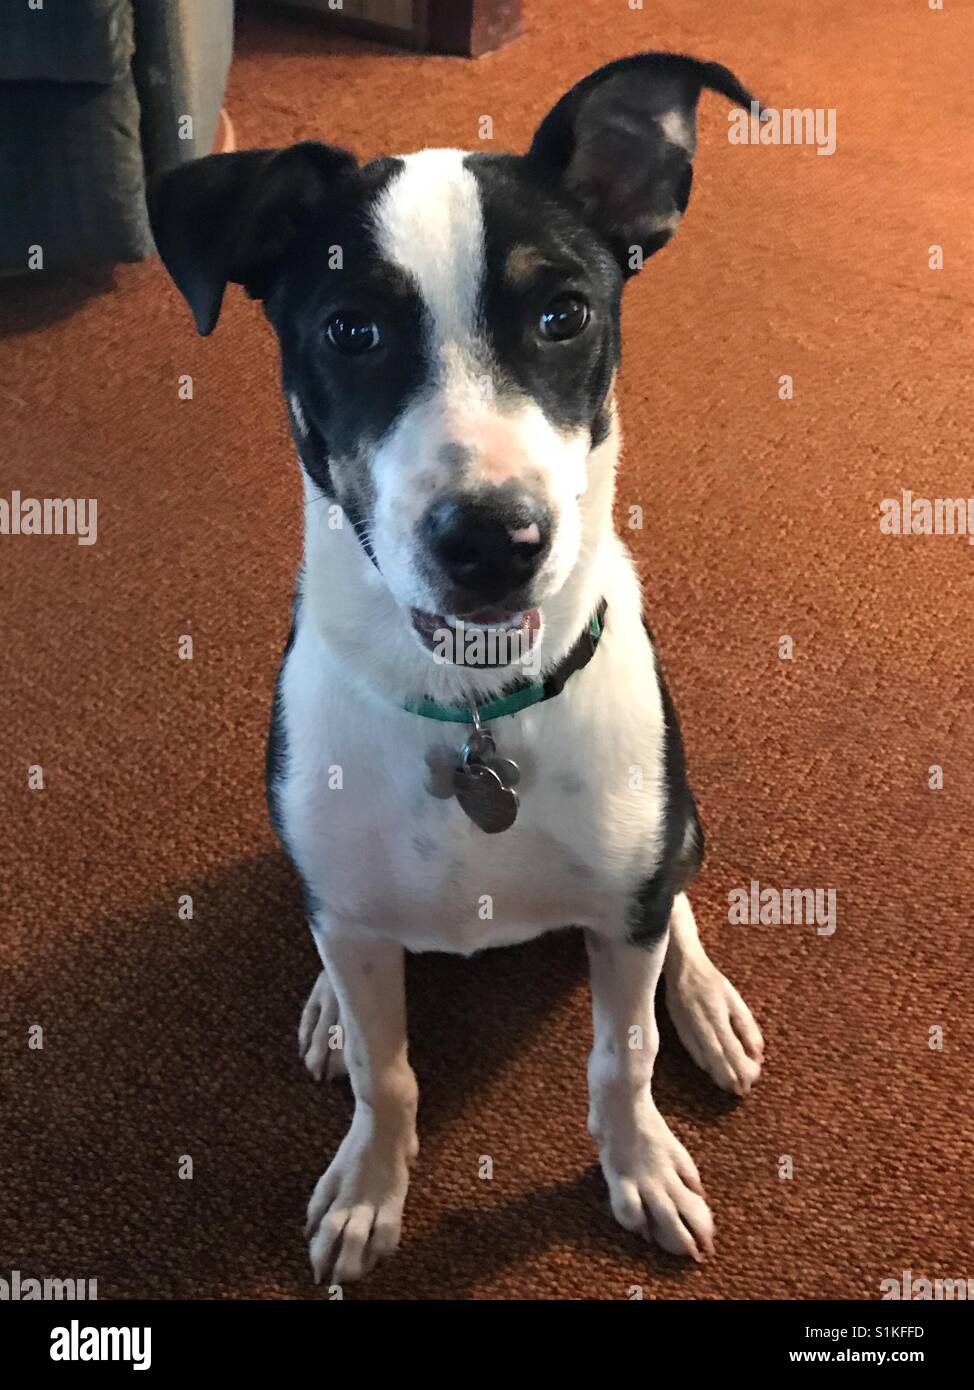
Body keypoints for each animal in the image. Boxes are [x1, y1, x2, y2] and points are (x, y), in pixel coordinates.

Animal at [147, 54, 761, 1289]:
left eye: (563, 312)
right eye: (350, 329)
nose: (491, 539)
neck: (473, 706)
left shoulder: (626, 902)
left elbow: (620, 1054)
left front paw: (639, 1161)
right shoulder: (348, 911)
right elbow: (387, 1075)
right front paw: (368, 1185)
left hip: (677, 828)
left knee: (676, 899)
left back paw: (705, 1001)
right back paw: (330, 1013)